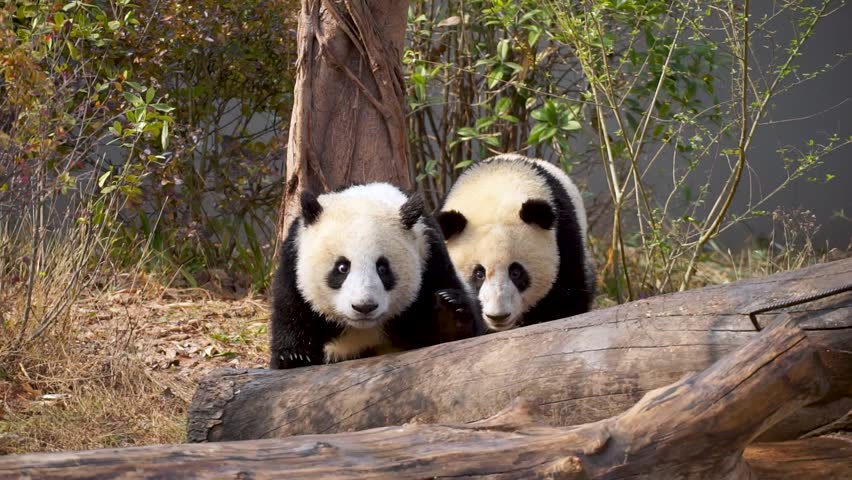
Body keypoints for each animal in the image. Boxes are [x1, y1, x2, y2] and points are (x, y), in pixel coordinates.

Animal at [269, 183, 482, 369]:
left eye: (382, 268)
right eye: (342, 267)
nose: (364, 307)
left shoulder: (431, 257)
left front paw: (449, 309)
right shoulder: (293, 262)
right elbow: (291, 309)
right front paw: (295, 355)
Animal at [436, 154, 594, 332]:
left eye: (516, 272)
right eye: (479, 273)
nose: (498, 316)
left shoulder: (565, 234)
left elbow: (569, 297)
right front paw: (453, 305)